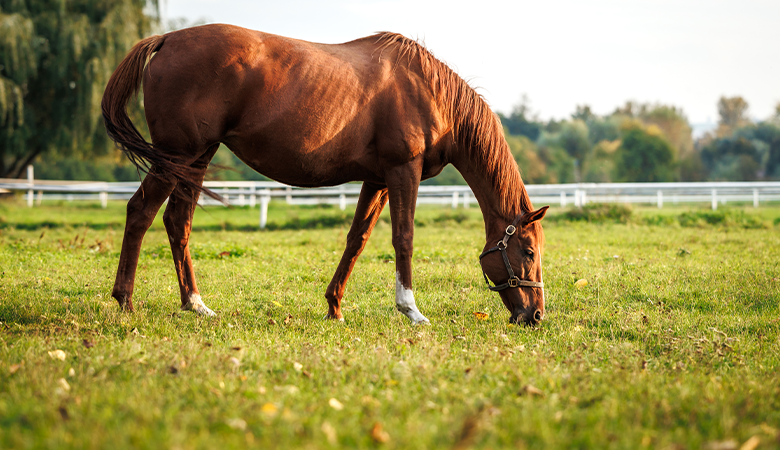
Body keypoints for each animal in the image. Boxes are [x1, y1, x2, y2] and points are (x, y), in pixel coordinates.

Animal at [102, 24, 549, 326]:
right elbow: (403, 238)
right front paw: (411, 310)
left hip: (195, 160)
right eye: (528, 252)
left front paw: (334, 305)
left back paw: (195, 303)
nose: (535, 315)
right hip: (176, 156)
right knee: (140, 212)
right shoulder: (404, 171)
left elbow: (357, 240)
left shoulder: (378, 180)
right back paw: (125, 301)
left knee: (177, 222)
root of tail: (166, 39)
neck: (429, 92)